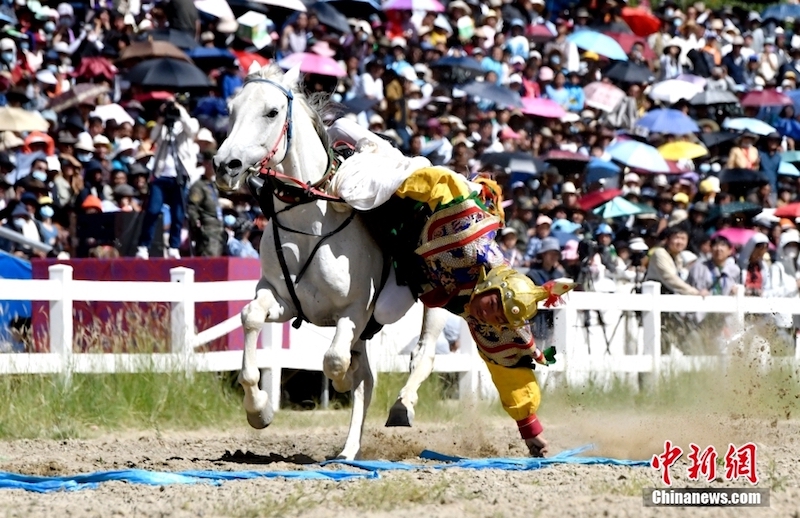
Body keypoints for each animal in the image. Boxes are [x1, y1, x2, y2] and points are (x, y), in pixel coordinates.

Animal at [214, 64, 444, 460]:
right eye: (231, 109)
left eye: (271, 112)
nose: (226, 165)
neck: (310, 221)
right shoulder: (282, 299)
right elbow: (250, 317)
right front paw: (259, 409)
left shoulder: (354, 312)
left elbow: (335, 360)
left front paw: (340, 379)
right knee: (368, 379)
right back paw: (348, 451)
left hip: (436, 301)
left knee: (422, 353)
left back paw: (402, 406)